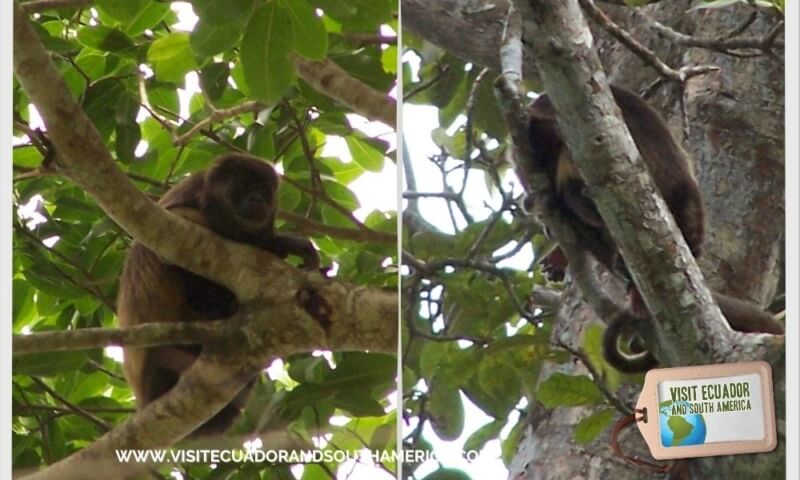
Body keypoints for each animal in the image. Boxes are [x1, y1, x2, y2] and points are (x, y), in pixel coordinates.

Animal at [119, 154, 318, 436]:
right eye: (244, 186)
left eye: (264, 189)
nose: (257, 198)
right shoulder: (181, 201)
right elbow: (172, 236)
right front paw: (278, 243)